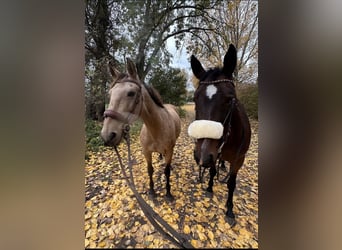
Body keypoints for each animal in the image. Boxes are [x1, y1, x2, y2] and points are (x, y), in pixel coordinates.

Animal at [187, 44, 251, 226]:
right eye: (195, 99)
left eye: (230, 100)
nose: (202, 157)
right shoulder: (213, 153)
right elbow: (212, 171)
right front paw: (209, 187)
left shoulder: (238, 160)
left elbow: (231, 183)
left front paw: (229, 209)